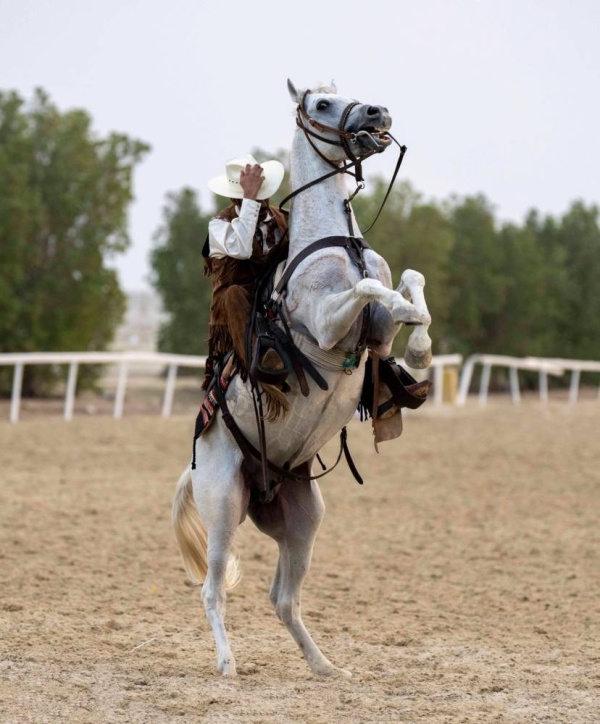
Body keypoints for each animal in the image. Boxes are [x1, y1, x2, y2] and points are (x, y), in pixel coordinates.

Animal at [173, 80, 432, 680]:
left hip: (304, 518)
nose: (378, 113)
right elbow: (370, 291)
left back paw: (326, 666)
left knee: (283, 599)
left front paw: (421, 346)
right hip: (223, 506)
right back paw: (227, 664)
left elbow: (408, 287)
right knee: (213, 589)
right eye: (320, 104)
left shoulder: (375, 334)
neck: (340, 244)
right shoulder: (328, 324)